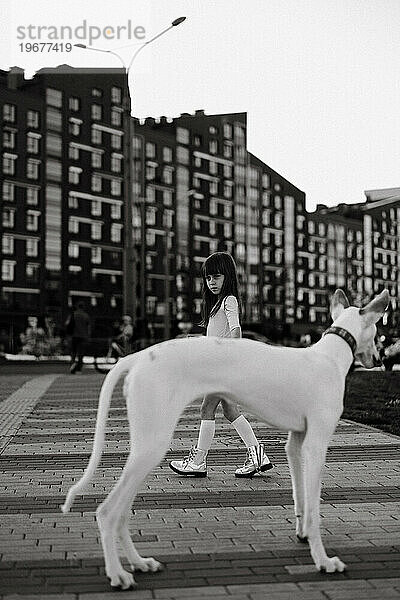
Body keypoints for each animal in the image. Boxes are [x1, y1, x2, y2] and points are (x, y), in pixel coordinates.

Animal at [61, 288, 390, 588]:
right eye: (377, 330)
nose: (380, 359)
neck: (330, 355)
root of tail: (141, 355)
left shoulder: (296, 444)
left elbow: (300, 498)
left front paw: (303, 535)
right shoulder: (316, 445)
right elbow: (314, 509)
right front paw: (323, 560)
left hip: (147, 447)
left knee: (122, 513)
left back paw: (140, 563)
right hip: (152, 445)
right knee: (108, 512)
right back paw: (118, 575)